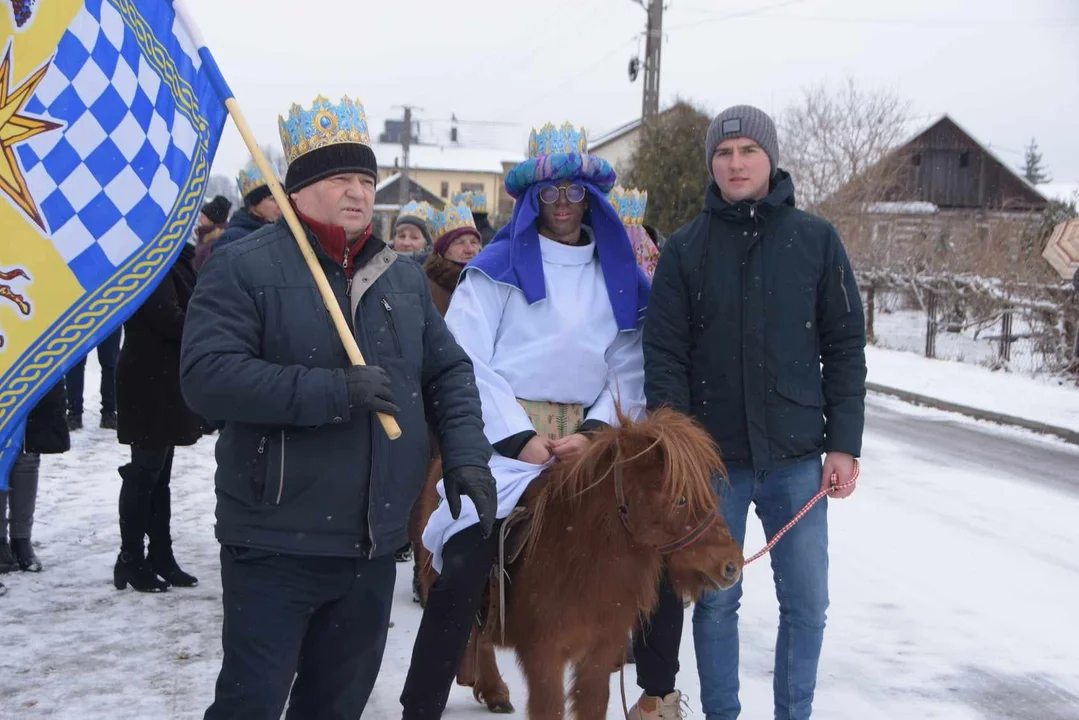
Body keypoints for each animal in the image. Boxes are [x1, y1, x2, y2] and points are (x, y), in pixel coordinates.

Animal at [416, 408, 746, 716]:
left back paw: (493, 690)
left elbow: (592, 706)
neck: (581, 563)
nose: (731, 565)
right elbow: (550, 709)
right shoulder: (543, 655)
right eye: (680, 498)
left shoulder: (600, 654)